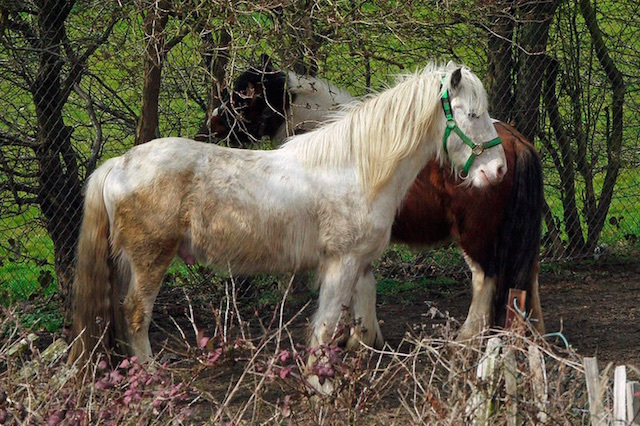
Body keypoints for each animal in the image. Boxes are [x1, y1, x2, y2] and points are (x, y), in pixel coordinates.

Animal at [67, 63, 507, 369]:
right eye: (472, 114)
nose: (497, 169)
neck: (356, 167)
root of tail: (120, 164)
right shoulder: (342, 262)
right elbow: (326, 325)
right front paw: (320, 384)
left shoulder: (357, 263)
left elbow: (355, 312)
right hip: (149, 260)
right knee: (135, 313)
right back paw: (150, 375)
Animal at [209, 64, 545, 339]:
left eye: (242, 98)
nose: (211, 124)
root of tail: (517, 143)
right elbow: (364, 289)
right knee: (527, 278)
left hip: (474, 235)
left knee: (484, 280)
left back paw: (466, 340)